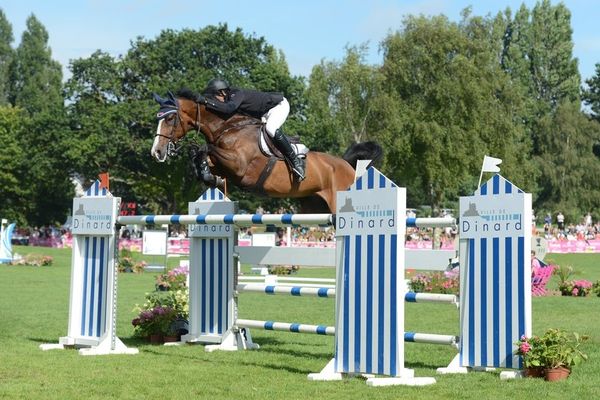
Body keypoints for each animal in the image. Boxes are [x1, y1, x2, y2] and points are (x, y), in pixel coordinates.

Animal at [152, 87, 382, 212]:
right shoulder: (226, 165)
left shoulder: (239, 165)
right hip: (313, 205)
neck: (228, 127)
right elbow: (206, 159)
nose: (157, 152)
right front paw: (209, 177)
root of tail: (347, 166)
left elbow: (206, 148)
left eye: (170, 119)